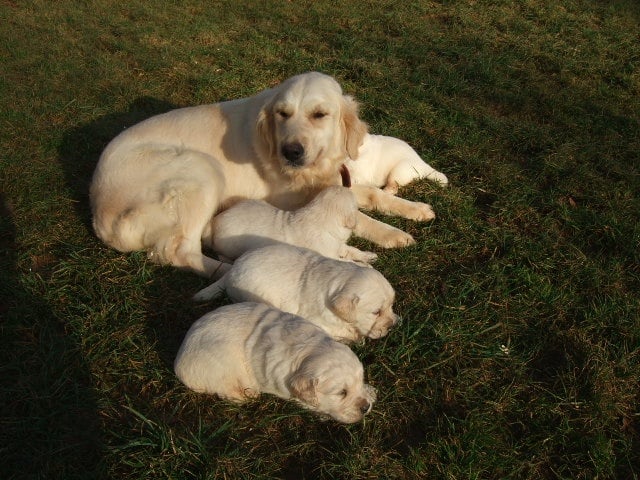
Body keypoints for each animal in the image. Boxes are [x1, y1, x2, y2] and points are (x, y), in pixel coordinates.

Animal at [172, 304, 378, 424]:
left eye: (360, 381)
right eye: (341, 393)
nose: (365, 408)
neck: (310, 350)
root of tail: (179, 359)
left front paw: (369, 392)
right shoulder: (286, 388)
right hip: (220, 364)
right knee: (226, 389)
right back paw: (248, 394)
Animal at [192, 246, 398, 344]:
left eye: (391, 306)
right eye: (376, 312)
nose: (392, 326)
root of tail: (231, 271)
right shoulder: (317, 320)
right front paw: (355, 336)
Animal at [205, 185, 378, 266]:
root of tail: (215, 221)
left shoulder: (337, 245)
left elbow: (352, 250)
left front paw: (368, 256)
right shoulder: (328, 254)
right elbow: (346, 261)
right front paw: (363, 266)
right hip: (228, 247)